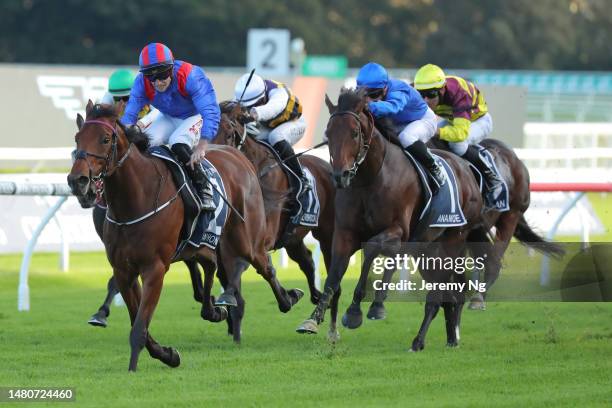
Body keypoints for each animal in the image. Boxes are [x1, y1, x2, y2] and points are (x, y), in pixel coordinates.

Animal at [68, 101, 302, 370]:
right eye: (77, 138)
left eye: (105, 139)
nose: (77, 180)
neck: (137, 198)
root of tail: (239, 157)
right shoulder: (124, 270)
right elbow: (140, 321)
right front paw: (168, 354)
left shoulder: (155, 268)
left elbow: (139, 327)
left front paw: (134, 367)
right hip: (204, 241)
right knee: (211, 264)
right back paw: (215, 310)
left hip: (245, 238)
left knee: (265, 266)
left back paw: (288, 298)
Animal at [212, 102, 338, 342]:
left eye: (230, 133)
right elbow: (228, 270)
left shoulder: (261, 237)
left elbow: (263, 267)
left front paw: (288, 298)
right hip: (293, 237)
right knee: (307, 260)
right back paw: (316, 297)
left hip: (326, 232)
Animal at [294, 90, 486, 350]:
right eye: (328, 132)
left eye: (354, 133)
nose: (340, 176)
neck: (370, 178)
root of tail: (467, 170)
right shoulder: (345, 233)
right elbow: (334, 276)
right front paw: (314, 319)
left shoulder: (398, 230)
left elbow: (374, 249)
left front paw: (358, 310)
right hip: (427, 249)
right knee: (447, 293)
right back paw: (449, 338)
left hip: (453, 239)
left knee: (439, 291)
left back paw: (418, 340)